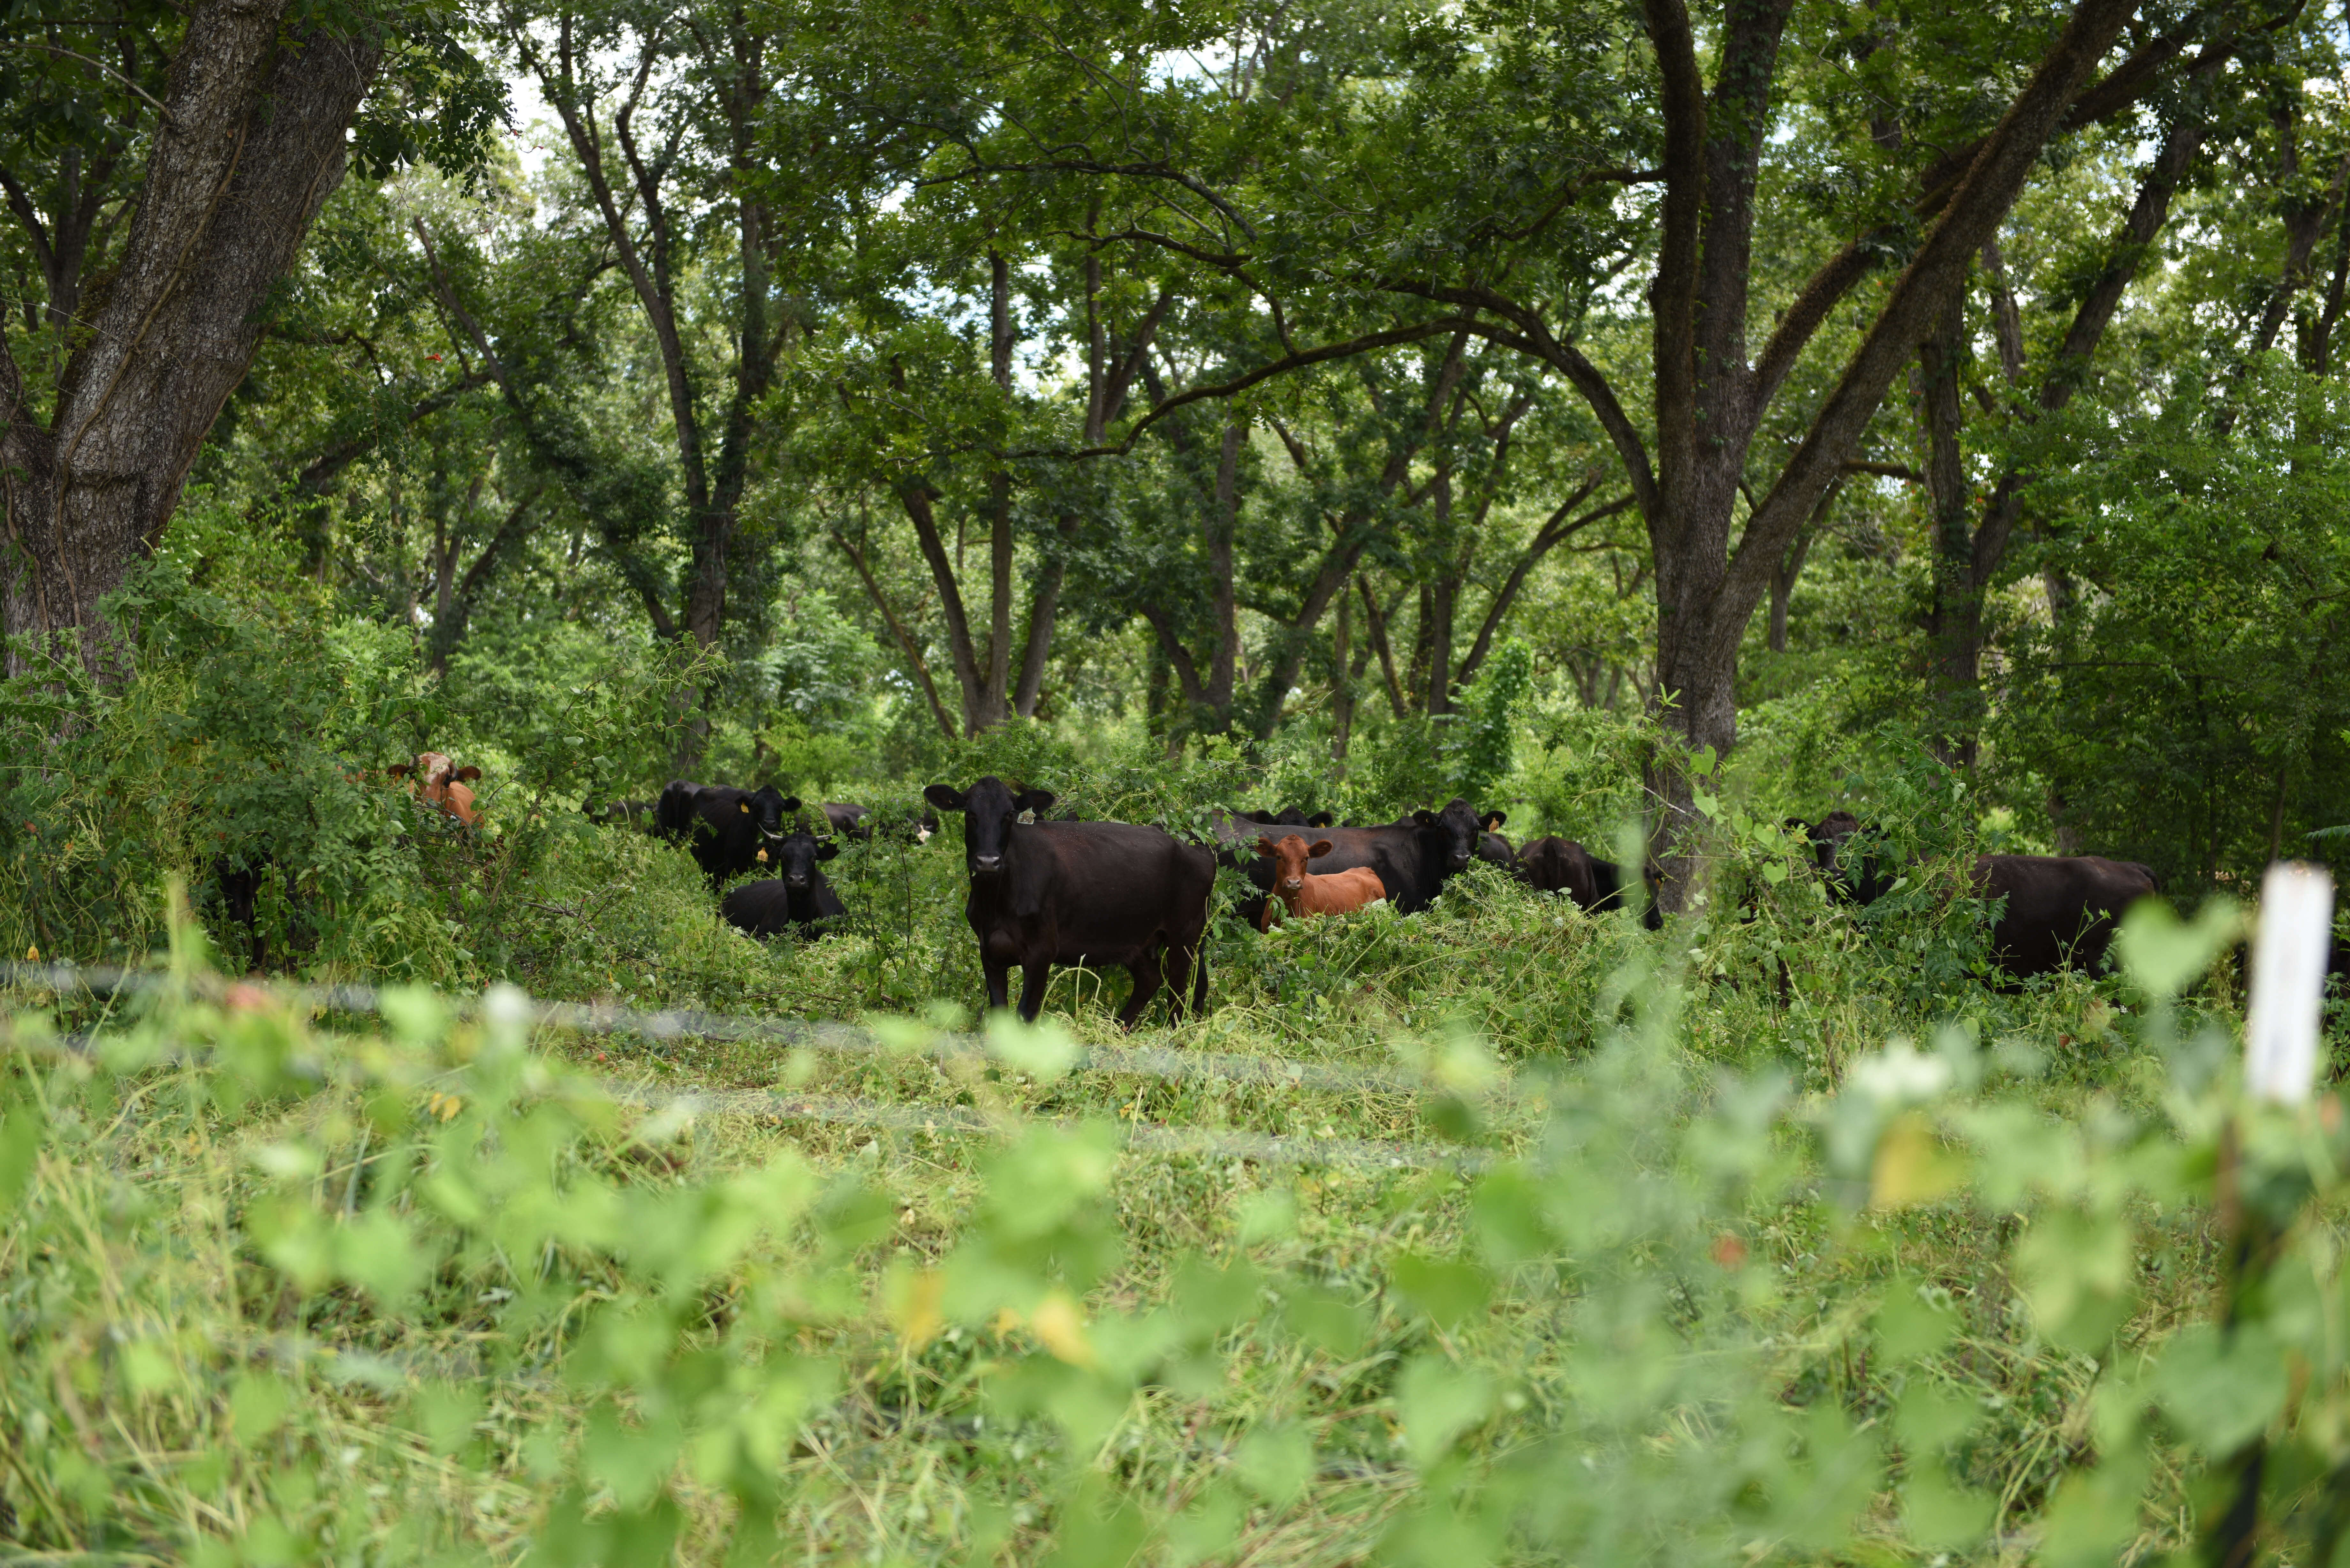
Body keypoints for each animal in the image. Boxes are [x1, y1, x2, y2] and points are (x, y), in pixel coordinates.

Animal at [916, 776, 1212, 1029]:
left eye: (1010, 814)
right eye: (969, 812)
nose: (988, 862)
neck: (996, 902)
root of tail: (1197, 844)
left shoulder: (1042, 951)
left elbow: (1026, 1014)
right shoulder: (989, 949)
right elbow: (1000, 1013)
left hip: (1185, 935)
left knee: (1179, 993)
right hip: (1136, 939)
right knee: (1150, 980)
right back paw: (1118, 1030)